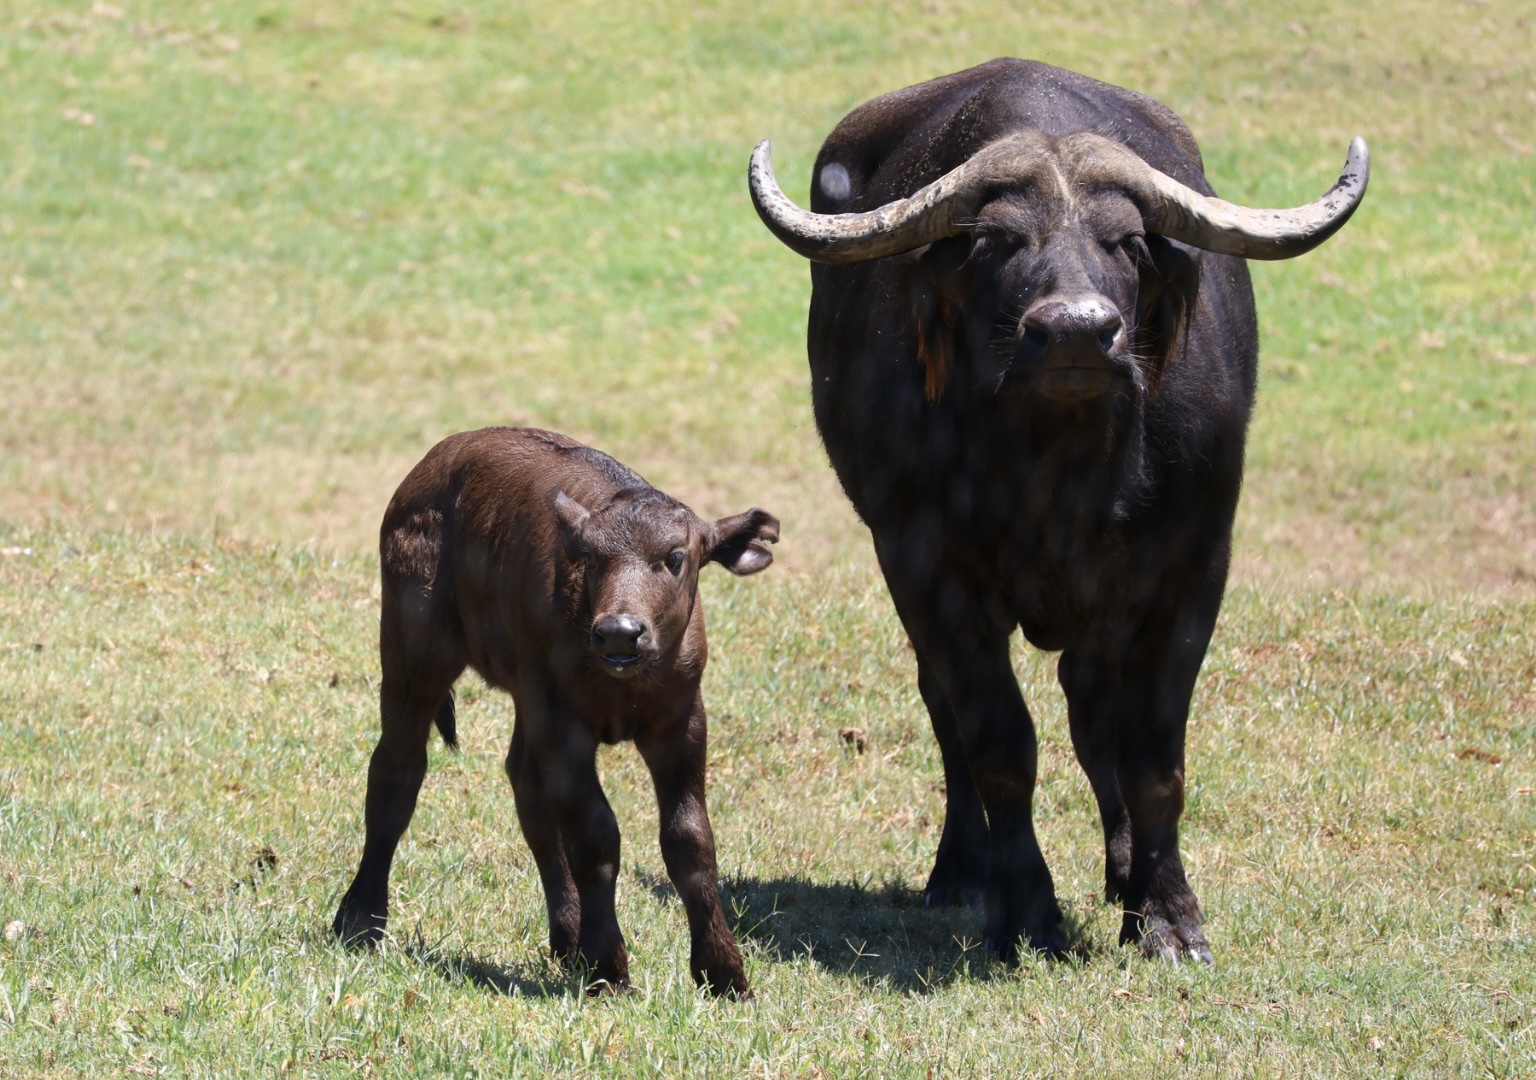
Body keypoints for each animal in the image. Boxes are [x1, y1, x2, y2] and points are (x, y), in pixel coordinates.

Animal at [332, 427, 778, 997]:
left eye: (675, 557)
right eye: (589, 558)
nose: (619, 632)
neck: (623, 683)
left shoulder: (681, 723)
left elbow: (690, 840)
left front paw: (723, 972)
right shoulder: (564, 728)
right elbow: (595, 836)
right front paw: (609, 966)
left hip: (524, 695)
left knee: (527, 788)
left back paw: (568, 938)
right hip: (415, 651)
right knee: (397, 769)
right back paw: (360, 918)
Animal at [748, 58, 1368, 964]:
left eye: (1128, 240)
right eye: (998, 240)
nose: (1075, 332)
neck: (1064, 467)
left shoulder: (1195, 564)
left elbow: (1153, 757)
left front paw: (1167, 917)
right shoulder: (923, 562)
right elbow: (999, 742)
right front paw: (1026, 910)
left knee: (1092, 703)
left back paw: (1123, 870)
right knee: (951, 712)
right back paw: (961, 873)